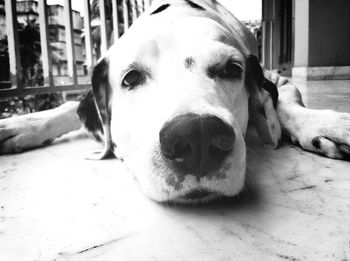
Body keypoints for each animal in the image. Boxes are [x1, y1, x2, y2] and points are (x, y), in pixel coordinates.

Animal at [0, 0, 350, 203]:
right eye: (130, 78)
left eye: (232, 69)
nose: (198, 136)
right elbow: (69, 108)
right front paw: (23, 123)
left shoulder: (277, 78)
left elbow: (285, 105)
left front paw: (325, 124)